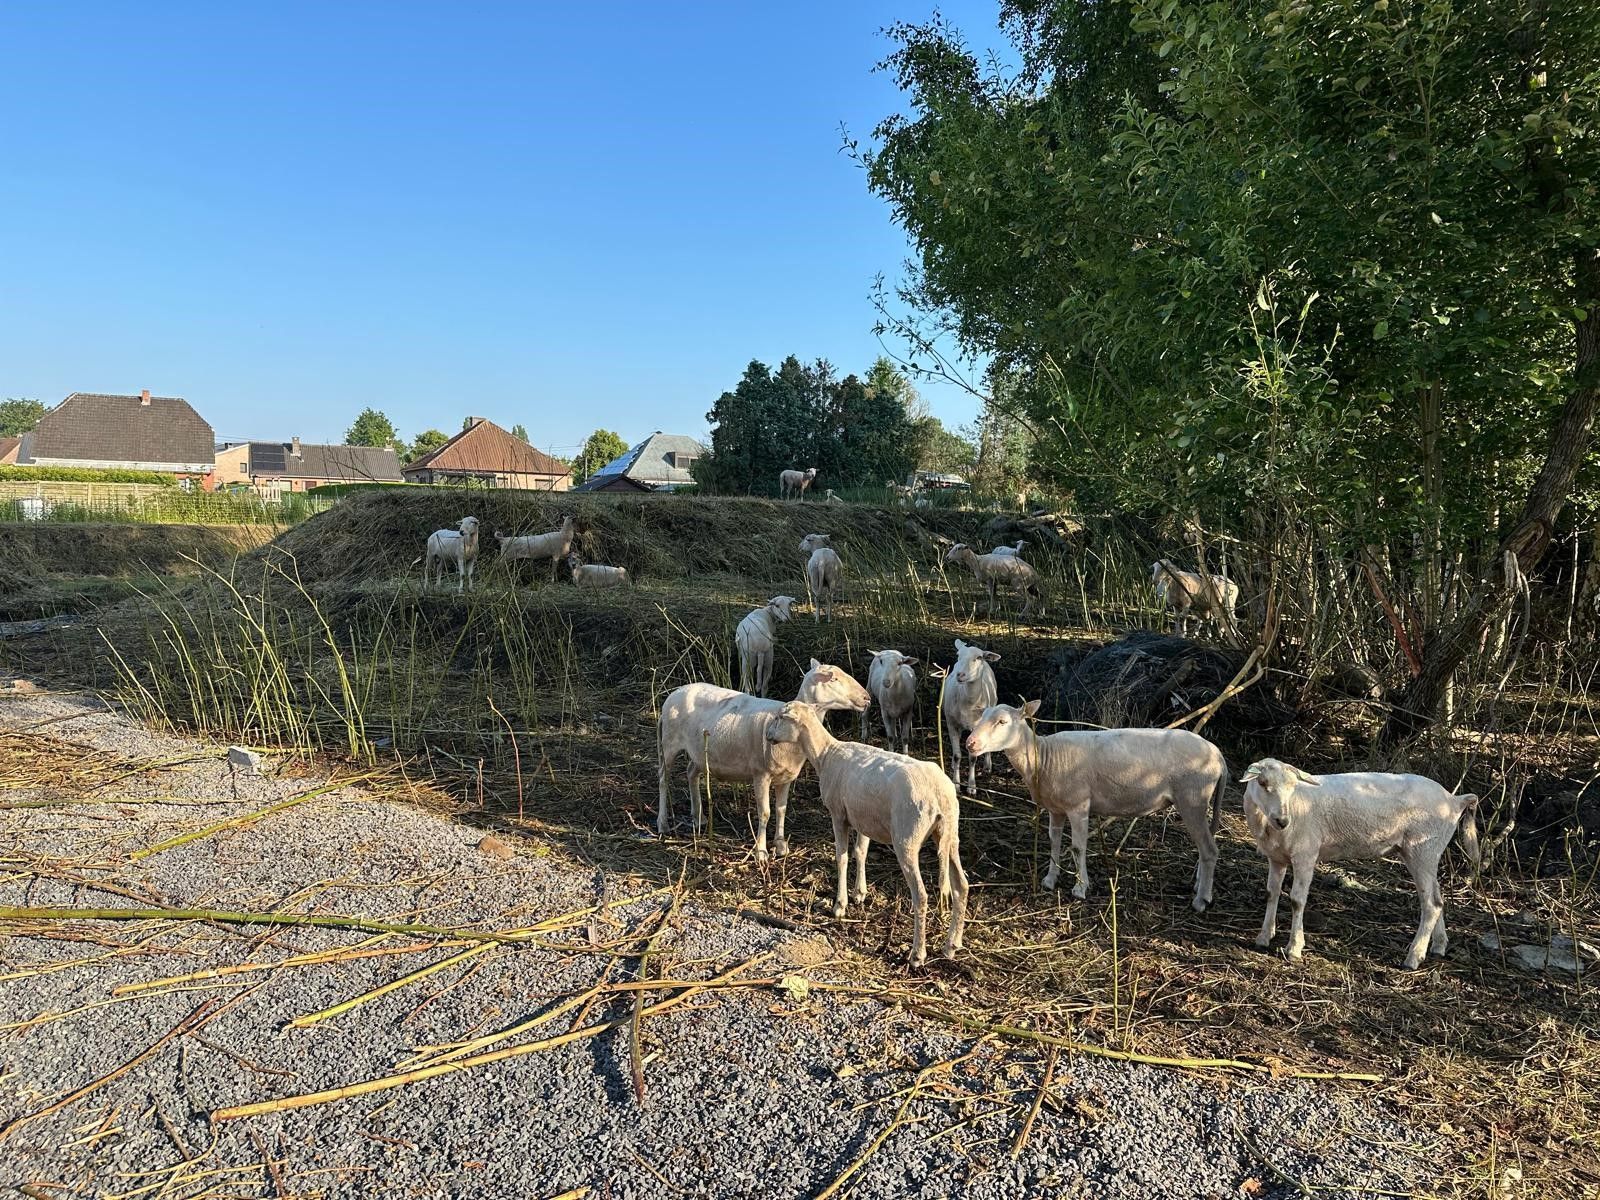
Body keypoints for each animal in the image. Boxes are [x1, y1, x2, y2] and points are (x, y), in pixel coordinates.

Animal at [656, 659, 870, 864]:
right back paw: (662, 823)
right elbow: (765, 813)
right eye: (833, 679)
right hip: (668, 743)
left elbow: (781, 809)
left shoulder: (786, 778)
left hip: (700, 753)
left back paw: (699, 816)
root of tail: (675, 692)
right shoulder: (761, 775)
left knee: (691, 773)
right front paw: (761, 852)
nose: (867, 698)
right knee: (663, 780)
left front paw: (781, 845)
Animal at [764, 704, 972, 966]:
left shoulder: (838, 814)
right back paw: (951, 945)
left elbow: (842, 857)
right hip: (950, 835)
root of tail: (939, 796)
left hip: (907, 838)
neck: (825, 754)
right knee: (961, 885)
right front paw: (859, 893)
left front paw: (840, 905)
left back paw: (917, 954)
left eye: (781, 717)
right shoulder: (862, 819)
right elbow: (860, 852)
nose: (768, 736)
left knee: (921, 895)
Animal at [934, 640, 992, 800]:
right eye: (958, 655)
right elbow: (957, 756)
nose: (960, 674)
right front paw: (956, 784)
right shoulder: (952, 724)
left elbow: (972, 759)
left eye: (979, 657)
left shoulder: (977, 728)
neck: (969, 702)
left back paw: (988, 765)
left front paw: (971, 787)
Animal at [960, 694, 1222, 908]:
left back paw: (1201, 900)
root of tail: (1216, 753)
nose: (970, 743)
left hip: (1192, 798)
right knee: (1204, 846)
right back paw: (1200, 886)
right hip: (1196, 800)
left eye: (1002, 722)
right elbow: (1054, 842)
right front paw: (1050, 879)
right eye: (982, 716)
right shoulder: (1056, 808)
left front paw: (1080, 887)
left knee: (1209, 850)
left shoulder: (1078, 805)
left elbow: (1078, 847)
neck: (1043, 757)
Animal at [1235, 764, 1484, 972]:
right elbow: (1272, 893)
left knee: (1431, 904)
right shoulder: (1276, 858)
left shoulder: (1305, 854)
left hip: (1422, 848)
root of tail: (1454, 800)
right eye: (1262, 783)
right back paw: (1439, 946)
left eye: (1292, 787)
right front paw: (1264, 937)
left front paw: (1294, 948)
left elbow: (1297, 900)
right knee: (1438, 899)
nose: (1283, 821)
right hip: (1428, 852)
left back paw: (1413, 957)